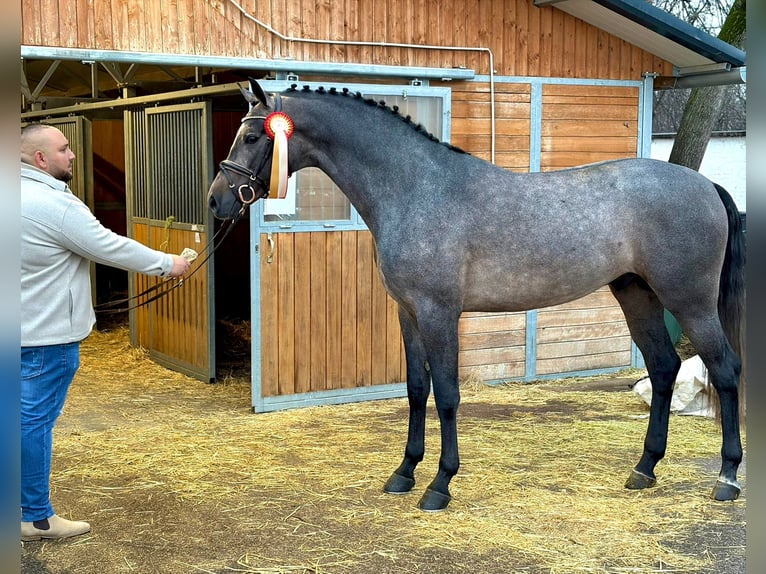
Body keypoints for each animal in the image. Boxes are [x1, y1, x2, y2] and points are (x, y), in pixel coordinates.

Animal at [207, 79, 745, 511]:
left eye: (253, 136)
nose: (217, 199)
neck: (415, 189)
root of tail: (706, 185)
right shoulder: (408, 314)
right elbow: (416, 390)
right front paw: (404, 472)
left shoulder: (438, 313)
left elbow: (446, 394)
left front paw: (439, 484)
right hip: (637, 295)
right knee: (663, 368)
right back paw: (644, 468)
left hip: (690, 302)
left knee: (724, 370)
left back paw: (727, 477)